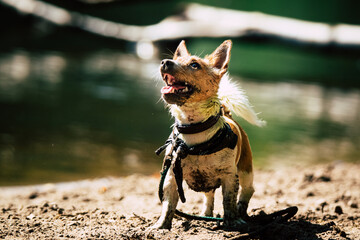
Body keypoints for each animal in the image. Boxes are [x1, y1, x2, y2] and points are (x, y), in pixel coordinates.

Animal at [152, 39, 264, 229]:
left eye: (194, 65)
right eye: (175, 60)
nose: (165, 62)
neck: (194, 130)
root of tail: (227, 114)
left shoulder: (230, 177)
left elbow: (228, 201)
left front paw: (232, 221)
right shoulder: (171, 178)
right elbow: (168, 206)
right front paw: (161, 226)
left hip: (245, 170)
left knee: (247, 191)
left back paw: (241, 210)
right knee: (209, 196)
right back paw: (206, 214)